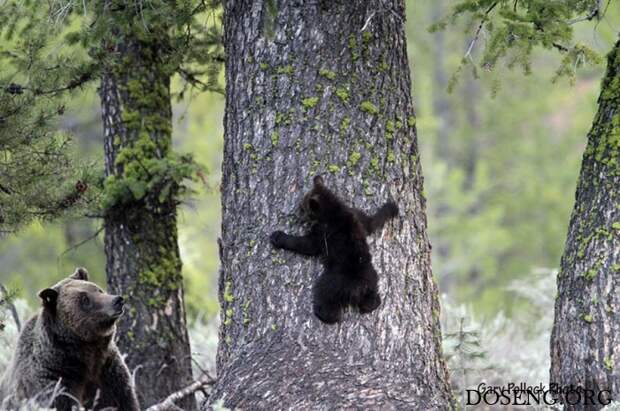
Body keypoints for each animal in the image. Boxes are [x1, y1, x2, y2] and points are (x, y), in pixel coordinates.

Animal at [0, 268, 139, 410]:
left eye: (98, 290)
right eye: (85, 299)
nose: (117, 300)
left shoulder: (108, 373)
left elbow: (123, 400)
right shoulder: (55, 379)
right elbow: (61, 401)